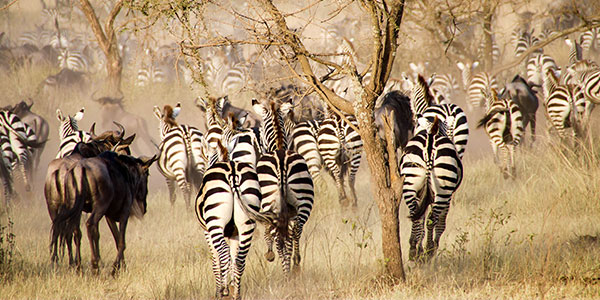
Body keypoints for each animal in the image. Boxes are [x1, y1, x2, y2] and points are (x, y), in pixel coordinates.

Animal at [196, 141, 262, 300]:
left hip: (215, 222)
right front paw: (232, 284)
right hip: (247, 222)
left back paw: (224, 290)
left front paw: (219, 290)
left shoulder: (206, 231)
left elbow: (215, 261)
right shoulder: (234, 234)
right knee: (240, 259)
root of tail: (232, 171)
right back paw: (236, 294)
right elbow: (233, 257)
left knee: (224, 253)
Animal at [400, 116, 462, 262]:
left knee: (415, 216)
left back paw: (413, 250)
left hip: (410, 183)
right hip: (443, 189)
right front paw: (431, 247)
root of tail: (430, 142)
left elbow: (421, 220)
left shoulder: (422, 195)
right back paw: (429, 250)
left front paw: (419, 248)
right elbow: (440, 224)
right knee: (432, 219)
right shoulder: (447, 198)